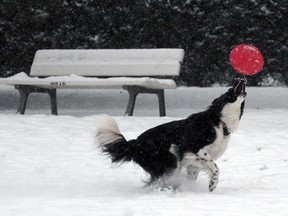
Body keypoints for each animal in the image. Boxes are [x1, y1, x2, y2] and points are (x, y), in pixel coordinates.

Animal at [95, 77, 246, 192]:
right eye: (229, 90)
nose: (240, 77)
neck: (219, 121)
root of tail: (135, 143)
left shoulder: (194, 164)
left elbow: (197, 173)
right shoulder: (195, 148)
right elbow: (216, 168)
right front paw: (212, 185)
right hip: (170, 159)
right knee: (158, 181)